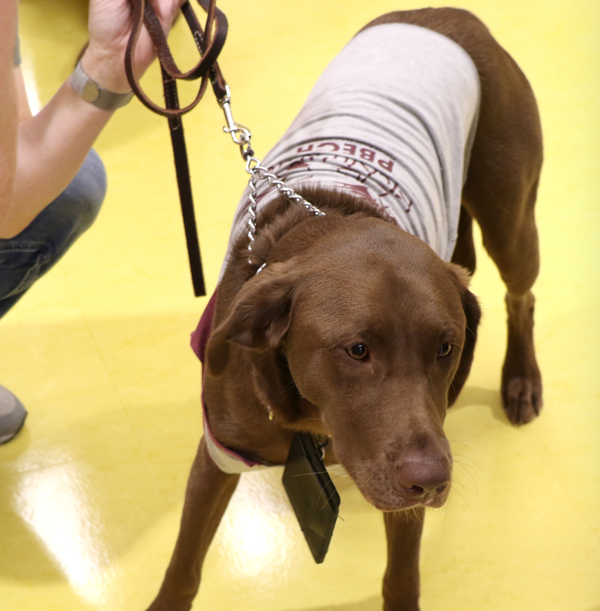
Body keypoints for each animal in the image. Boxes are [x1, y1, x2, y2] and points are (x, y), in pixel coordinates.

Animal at [146, 5, 544, 611]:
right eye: (356, 350)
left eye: (445, 348)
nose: (431, 480)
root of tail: (445, 13)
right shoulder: (217, 455)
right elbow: (185, 562)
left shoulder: (405, 479)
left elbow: (402, 574)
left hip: (511, 221)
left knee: (521, 297)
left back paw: (521, 379)